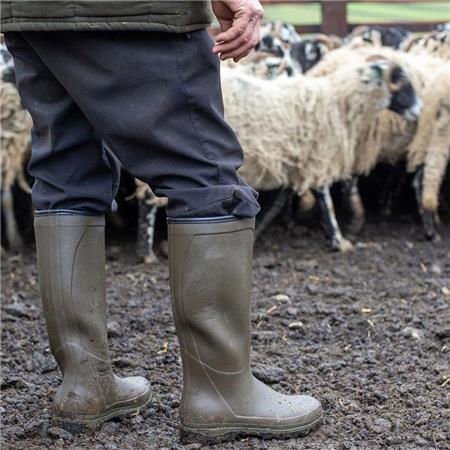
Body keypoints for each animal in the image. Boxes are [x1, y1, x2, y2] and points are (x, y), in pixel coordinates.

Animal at [223, 56, 420, 251]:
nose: (420, 109)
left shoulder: (294, 165)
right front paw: (339, 240)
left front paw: (257, 231)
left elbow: (277, 204)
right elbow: (326, 201)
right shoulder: (318, 158)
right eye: (400, 78)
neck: (336, 103)